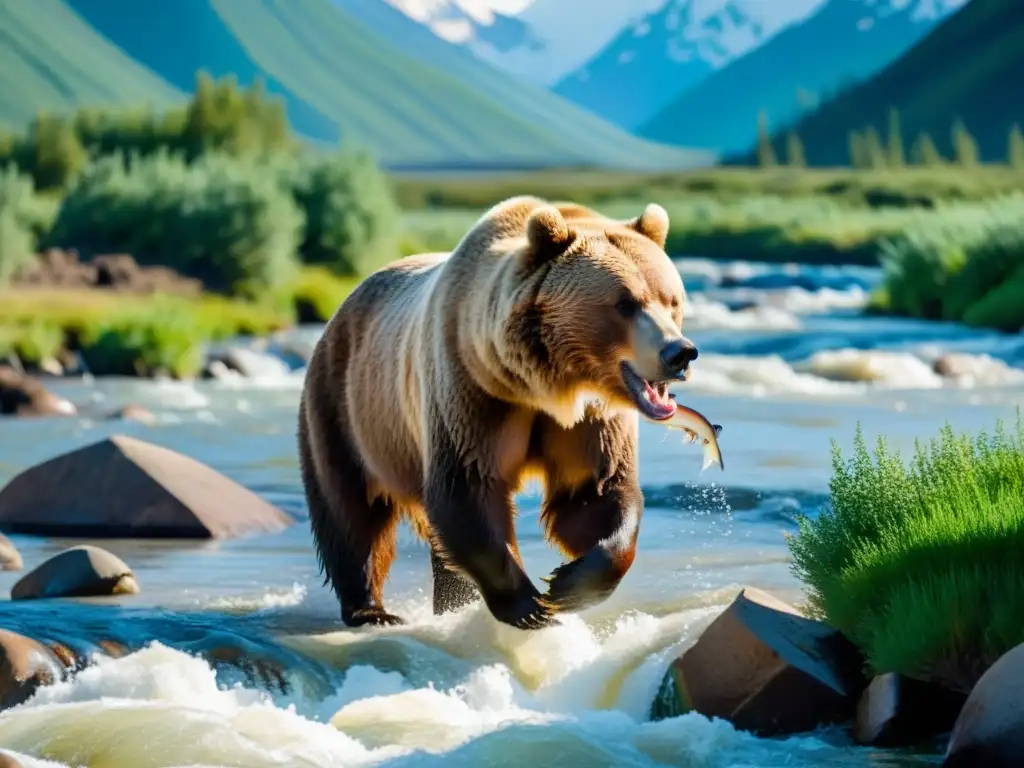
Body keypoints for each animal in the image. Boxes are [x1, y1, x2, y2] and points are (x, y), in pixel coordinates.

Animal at [296, 193, 696, 630]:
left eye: (672, 301)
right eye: (625, 303)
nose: (679, 352)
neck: (547, 385)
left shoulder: (592, 421)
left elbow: (593, 494)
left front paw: (567, 585)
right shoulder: (473, 393)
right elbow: (470, 491)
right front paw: (530, 605)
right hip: (345, 407)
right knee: (352, 511)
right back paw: (373, 610)